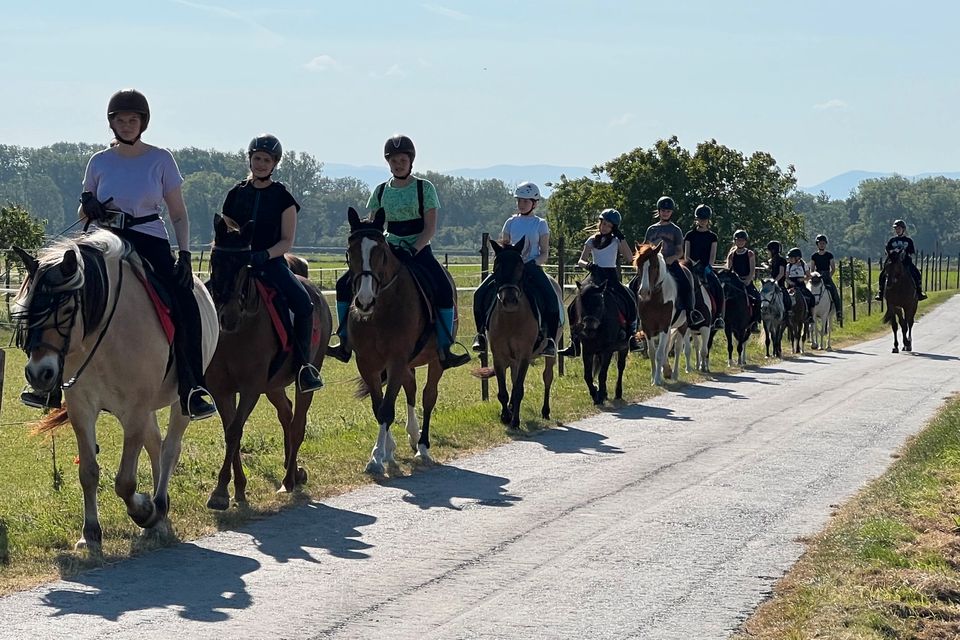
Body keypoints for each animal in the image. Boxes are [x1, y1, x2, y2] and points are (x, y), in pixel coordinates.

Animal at [12, 230, 218, 552]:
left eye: (67, 309)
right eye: (28, 306)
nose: (38, 373)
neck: (104, 331)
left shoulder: (134, 410)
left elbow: (125, 482)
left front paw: (144, 511)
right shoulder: (82, 408)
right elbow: (88, 472)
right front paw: (90, 533)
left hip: (178, 404)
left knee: (170, 449)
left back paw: (158, 505)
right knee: (155, 444)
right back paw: (160, 515)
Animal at [205, 215, 334, 510]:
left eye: (246, 265)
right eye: (215, 261)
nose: (228, 316)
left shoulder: (250, 389)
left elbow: (234, 431)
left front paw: (221, 491)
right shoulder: (222, 390)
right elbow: (231, 431)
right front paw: (236, 489)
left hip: (304, 378)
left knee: (298, 423)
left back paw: (288, 480)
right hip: (273, 386)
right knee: (286, 413)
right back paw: (293, 469)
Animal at [468, 239, 560, 430]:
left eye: (520, 266)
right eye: (496, 266)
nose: (509, 300)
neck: (511, 318)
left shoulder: (524, 355)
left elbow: (519, 389)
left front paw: (515, 421)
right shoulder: (499, 355)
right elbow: (504, 389)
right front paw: (505, 416)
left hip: (551, 351)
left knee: (547, 377)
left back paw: (545, 411)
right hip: (512, 358)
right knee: (513, 376)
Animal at [632, 242, 688, 384]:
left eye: (655, 266)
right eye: (638, 265)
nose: (644, 292)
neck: (656, 299)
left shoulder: (664, 326)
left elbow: (659, 353)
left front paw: (657, 379)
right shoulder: (647, 328)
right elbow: (652, 353)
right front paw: (653, 377)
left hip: (682, 325)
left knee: (677, 348)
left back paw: (674, 374)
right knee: (667, 346)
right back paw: (666, 370)